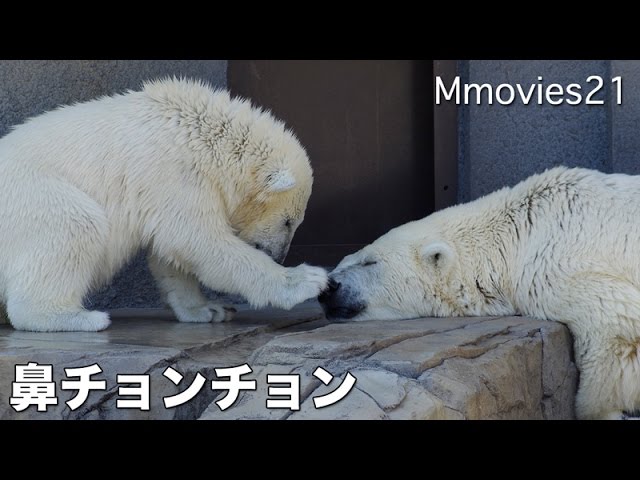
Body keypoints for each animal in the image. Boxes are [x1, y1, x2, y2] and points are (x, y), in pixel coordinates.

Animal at [0, 79, 328, 334]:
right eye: (288, 221)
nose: (279, 256)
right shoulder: (174, 171)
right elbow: (197, 240)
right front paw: (306, 280)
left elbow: (172, 255)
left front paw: (210, 310)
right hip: (32, 195)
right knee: (75, 224)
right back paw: (80, 317)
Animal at [322, 168, 640, 420]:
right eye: (349, 257)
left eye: (369, 262)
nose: (329, 288)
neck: (519, 232)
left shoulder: (557, 258)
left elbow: (617, 327)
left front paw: (599, 409)